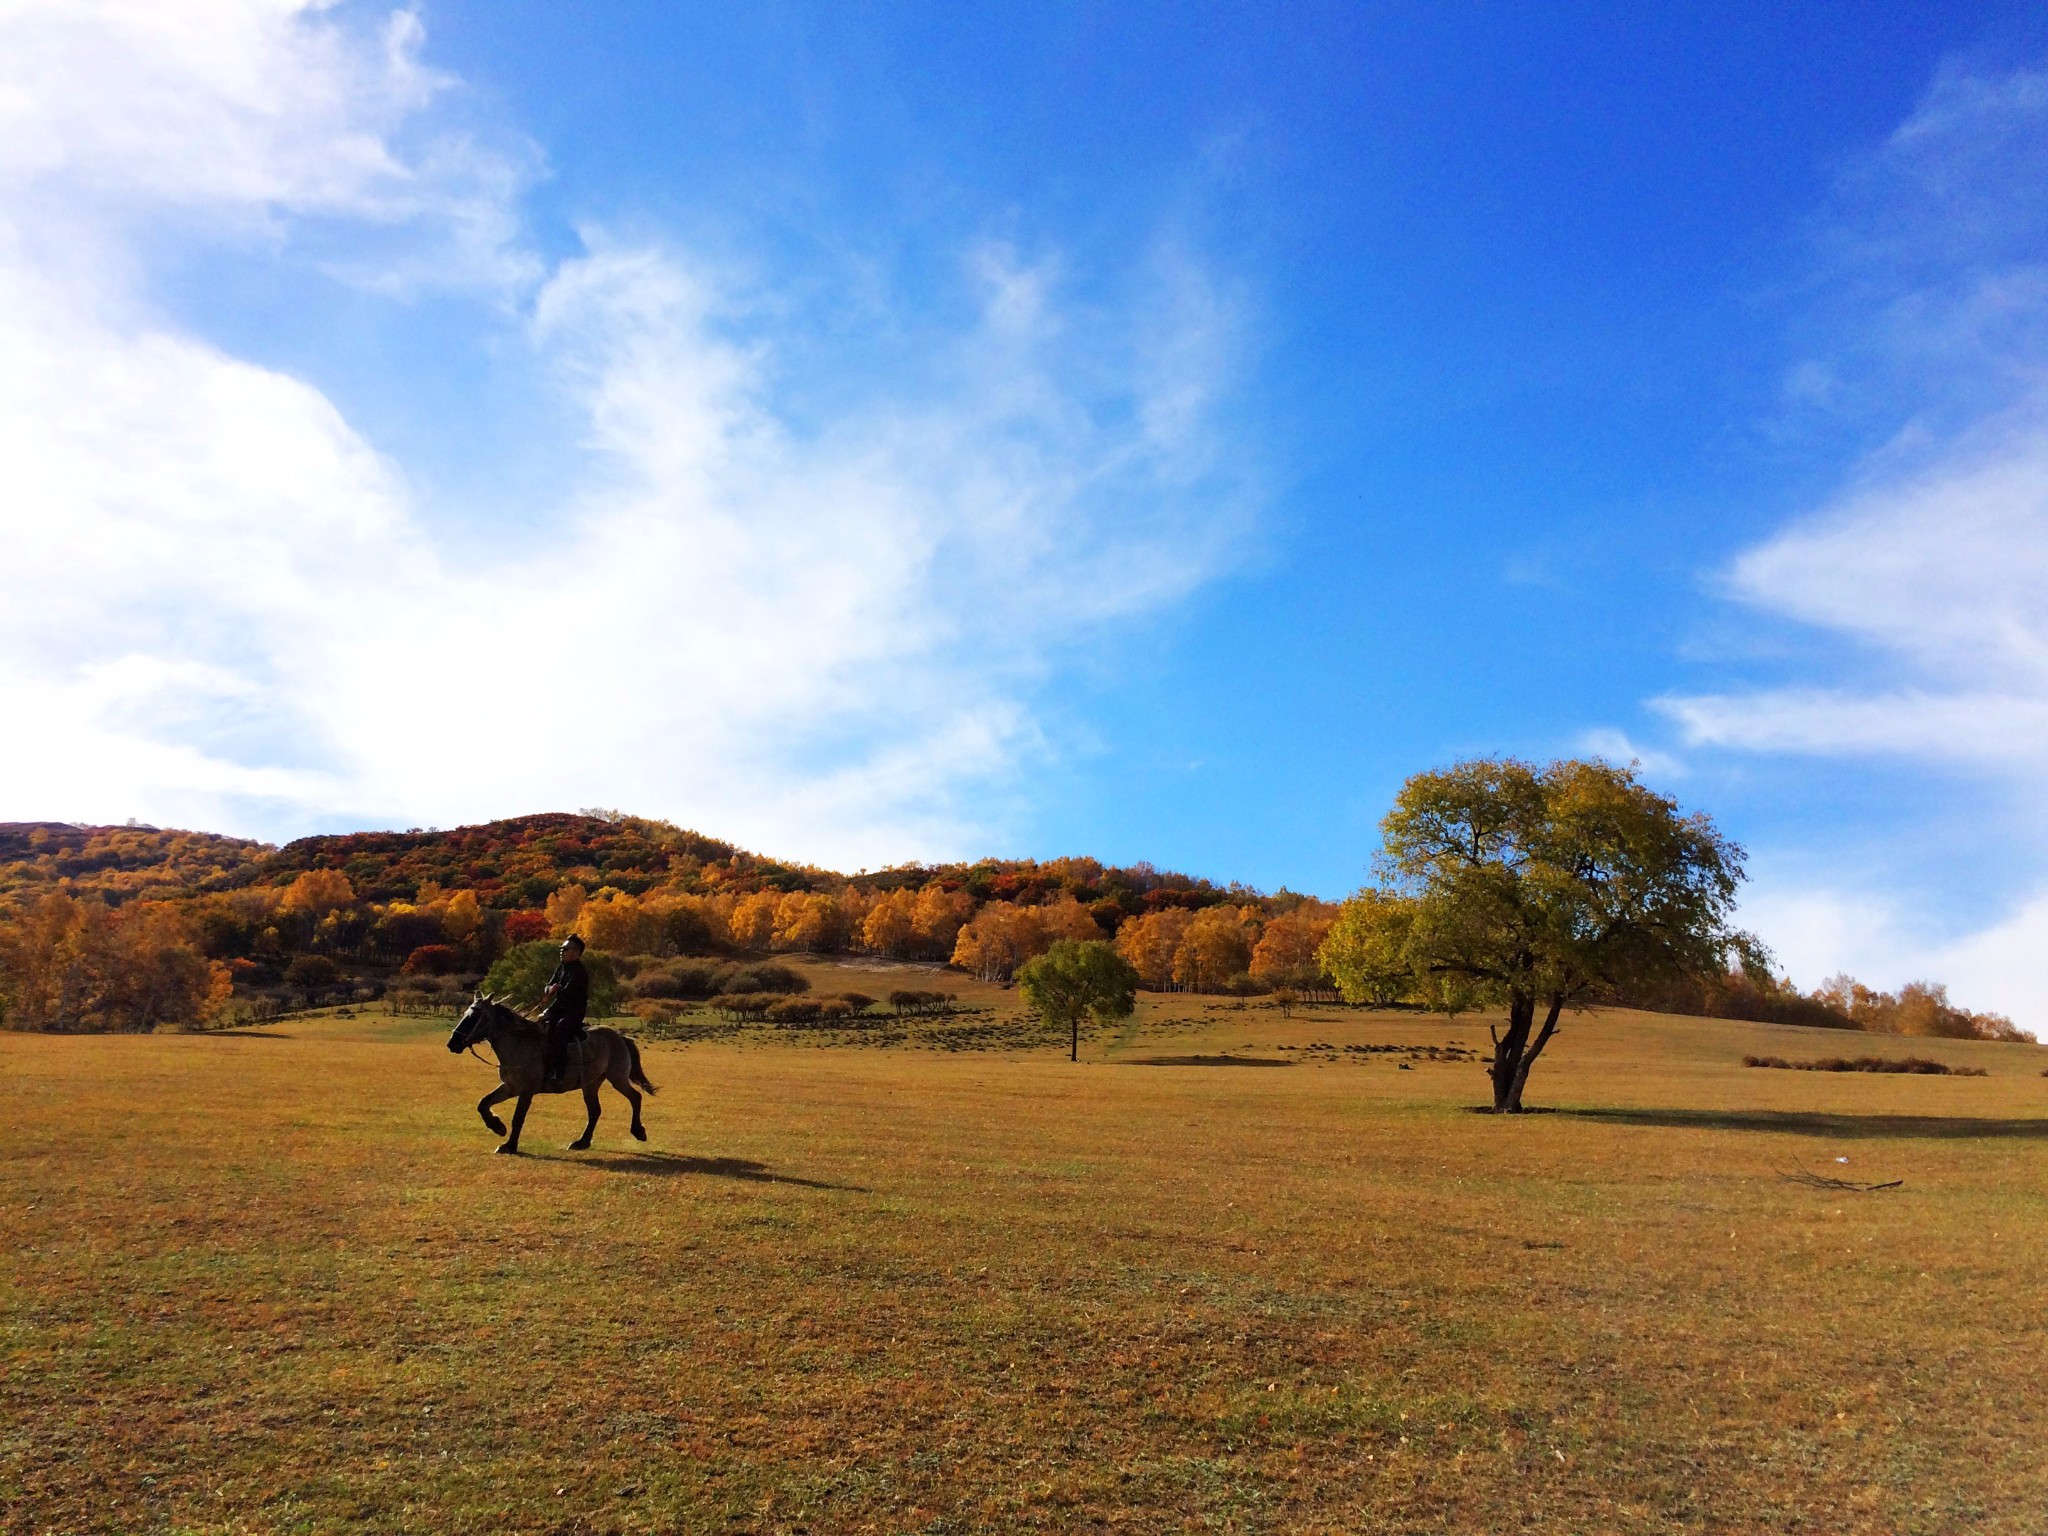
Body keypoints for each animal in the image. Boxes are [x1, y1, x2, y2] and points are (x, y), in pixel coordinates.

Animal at [448, 999, 655, 1155]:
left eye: (474, 1017)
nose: (452, 1043)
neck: (519, 1045)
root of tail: (620, 1037)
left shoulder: (526, 1091)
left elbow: (518, 1118)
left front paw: (509, 1145)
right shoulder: (510, 1087)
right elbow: (483, 1103)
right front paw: (498, 1127)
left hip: (617, 1078)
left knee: (635, 1098)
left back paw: (638, 1131)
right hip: (591, 1084)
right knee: (595, 1111)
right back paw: (582, 1142)